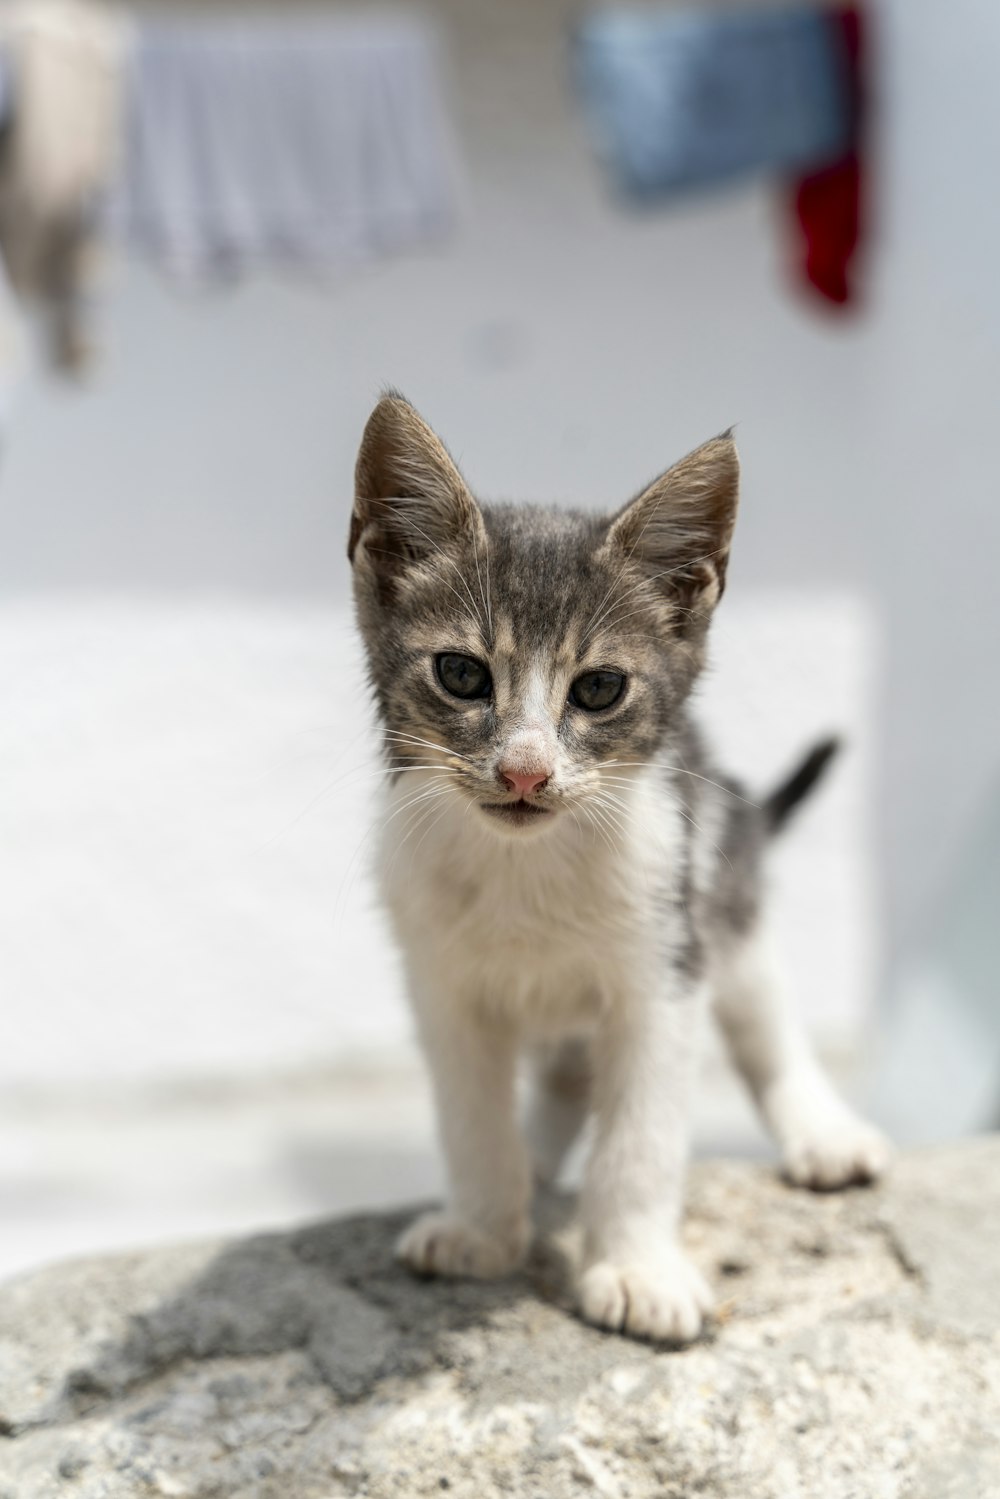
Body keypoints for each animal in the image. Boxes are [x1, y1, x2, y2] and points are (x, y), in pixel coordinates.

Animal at [346, 392, 893, 1343]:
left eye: (598, 689)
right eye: (461, 674)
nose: (525, 771)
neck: (525, 868)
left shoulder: (665, 969)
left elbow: (641, 1135)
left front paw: (636, 1268)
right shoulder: (440, 981)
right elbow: (470, 1116)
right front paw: (482, 1225)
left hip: (725, 896)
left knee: (767, 1024)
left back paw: (823, 1132)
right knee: (565, 1074)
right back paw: (531, 1165)